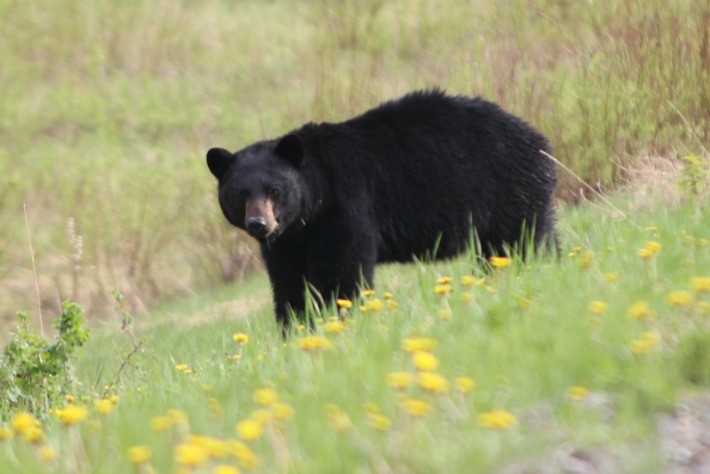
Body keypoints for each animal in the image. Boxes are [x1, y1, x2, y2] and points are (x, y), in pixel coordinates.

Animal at [206, 89, 558, 332]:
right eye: (240, 194)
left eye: (274, 190)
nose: (258, 223)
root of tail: (539, 138)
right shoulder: (287, 242)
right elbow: (288, 282)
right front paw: (295, 328)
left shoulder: (346, 206)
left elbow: (342, 270)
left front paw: (340, 319)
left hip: (506, 188)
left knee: (521, 239)